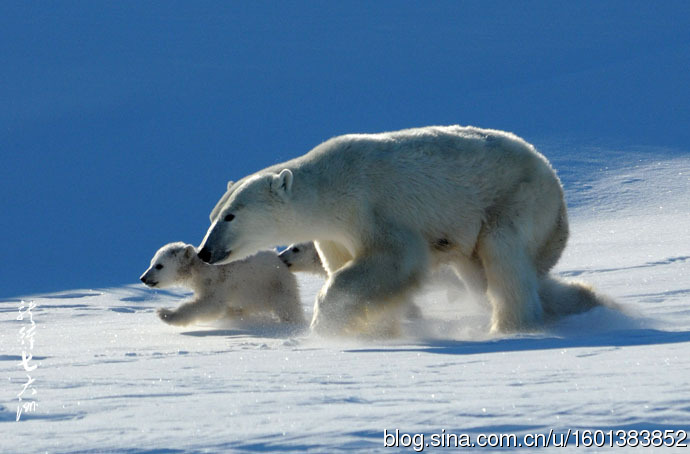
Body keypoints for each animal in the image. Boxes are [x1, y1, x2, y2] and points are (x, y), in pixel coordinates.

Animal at [139, 242, 304, 326]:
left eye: (159, 266)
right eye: (151, 262)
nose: (143, 278)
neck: (202, 268)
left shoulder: (218, 282)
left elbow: (210, 305)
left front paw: (165, 313)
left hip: (273, 283)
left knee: (287, 306)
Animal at [197, 125, 609, 335]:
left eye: (230, 216)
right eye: (213, 215)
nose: (205, 252)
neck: (329, 187)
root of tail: (554, 179)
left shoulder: (372, 207)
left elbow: (392, 260)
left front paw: (326, 325)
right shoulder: (335, 235)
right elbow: (349, 267)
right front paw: (377, 326)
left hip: (517, 198)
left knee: (503, 254)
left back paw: (511, 326)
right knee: (484, 275)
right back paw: (583, 299)